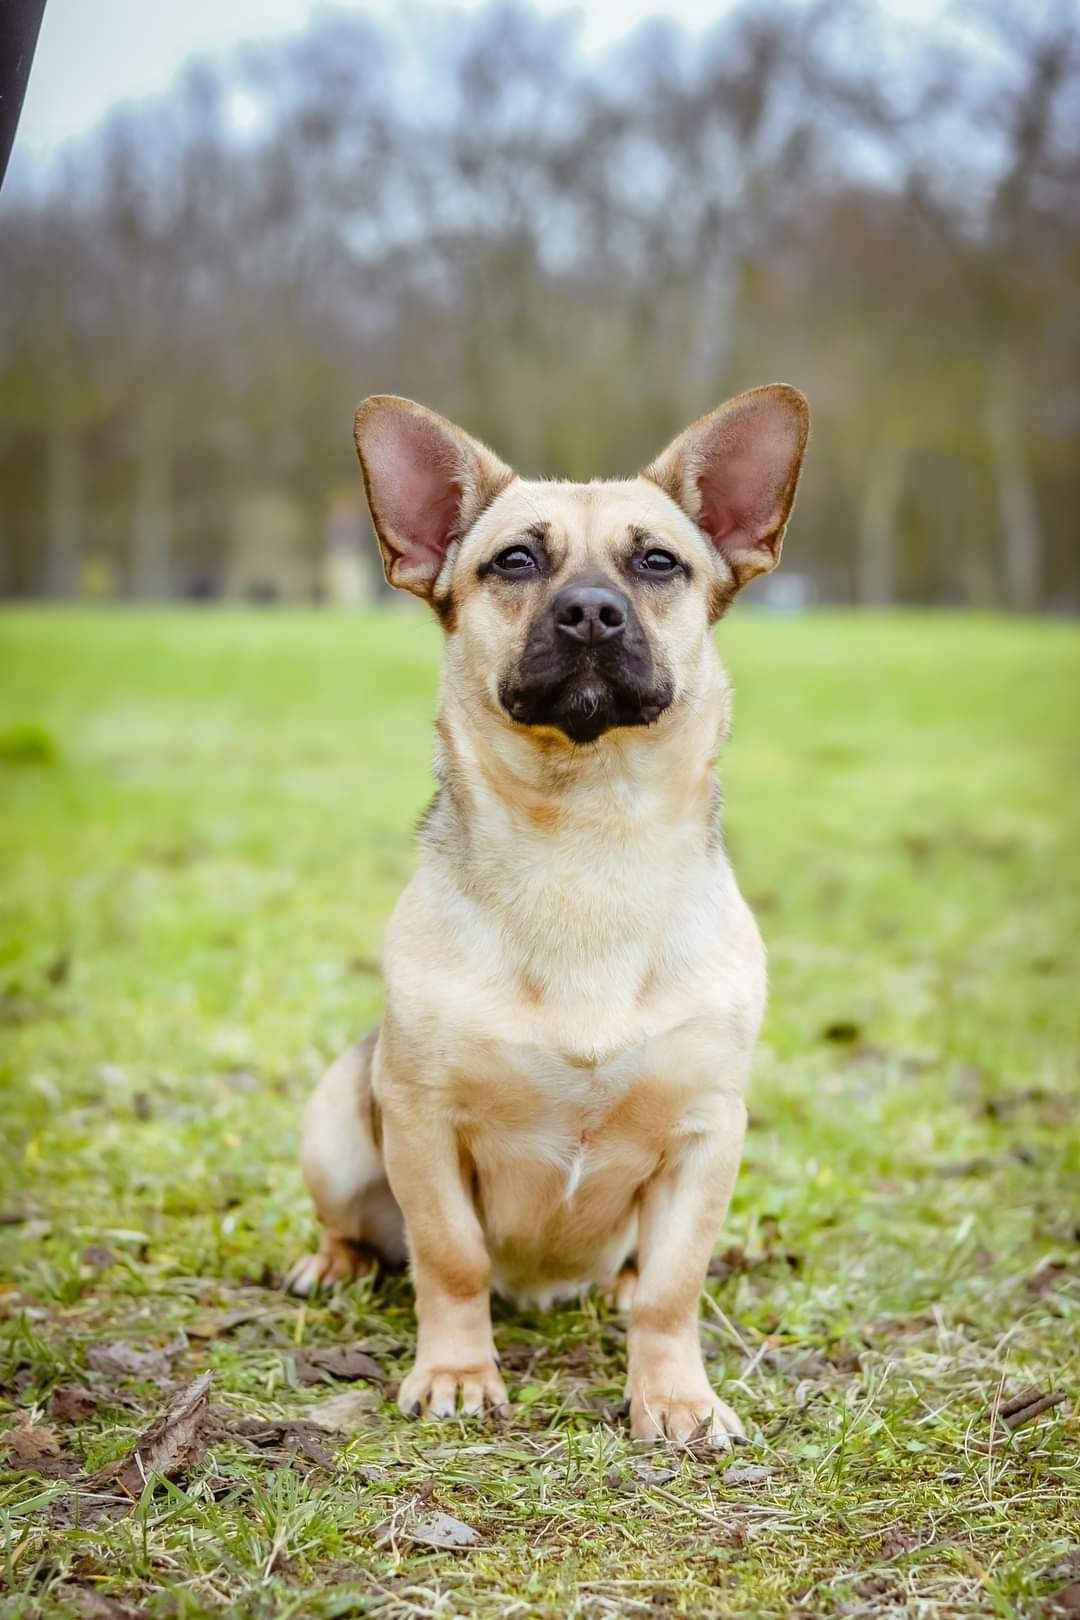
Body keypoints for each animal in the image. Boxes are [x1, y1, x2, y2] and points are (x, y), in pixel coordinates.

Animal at [286, 385, 809, 1451]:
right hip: (337, 1129)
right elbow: (451, 1258)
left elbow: (676, 1287)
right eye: (516, 561)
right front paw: (456, 1372)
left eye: (659, 562)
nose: (592, 610)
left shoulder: (706, 1136)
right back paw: (337, 1261)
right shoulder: (422, 1124)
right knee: (360, 1224)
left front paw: (675, 1394)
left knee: (639, 1272)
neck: (585, 840)